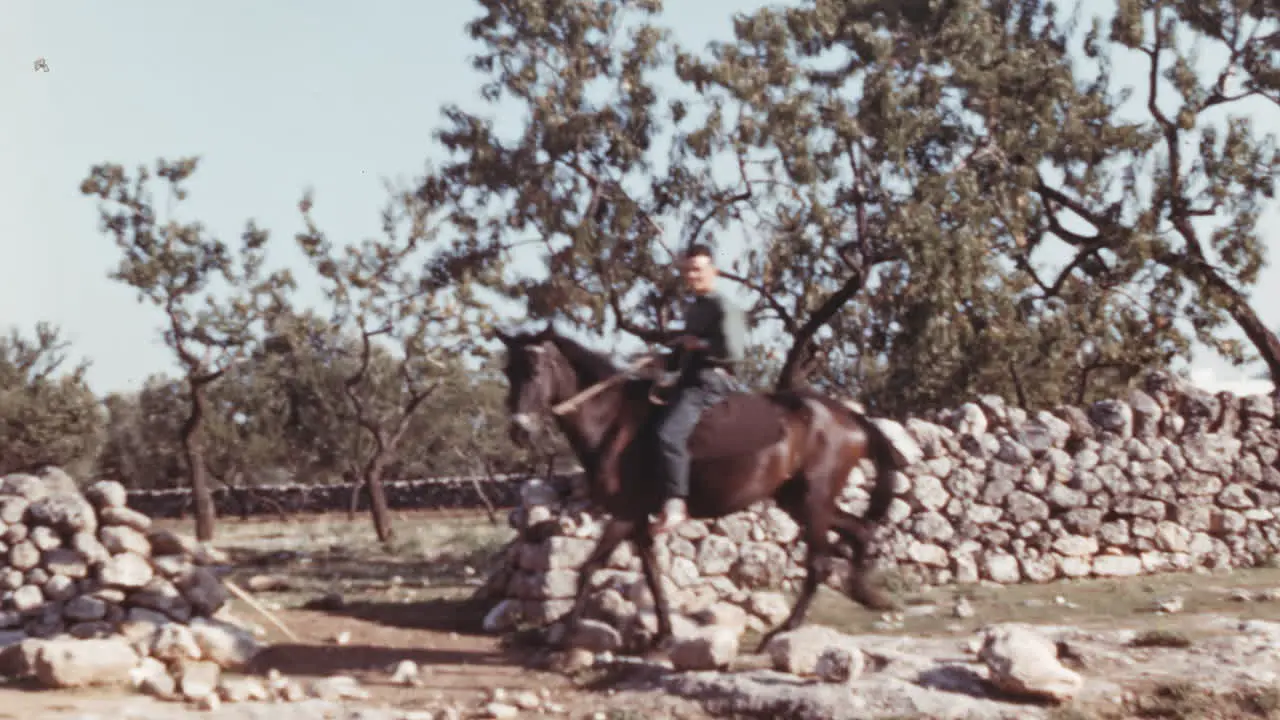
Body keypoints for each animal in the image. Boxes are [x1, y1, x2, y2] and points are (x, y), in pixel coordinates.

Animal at [494, 325, 906, 650]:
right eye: (508, 371)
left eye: (535, 368)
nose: (519, 430)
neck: (614, 422)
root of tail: (848, 417)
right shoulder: (639, 518)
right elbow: (652, 574)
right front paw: (663, 635)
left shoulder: (625, 513)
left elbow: (589, 566)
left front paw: (563, 640)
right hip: (799, 500)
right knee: (859, 529)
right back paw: (868, 594)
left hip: (813, 500)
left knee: (820, 563)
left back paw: (780, 633)